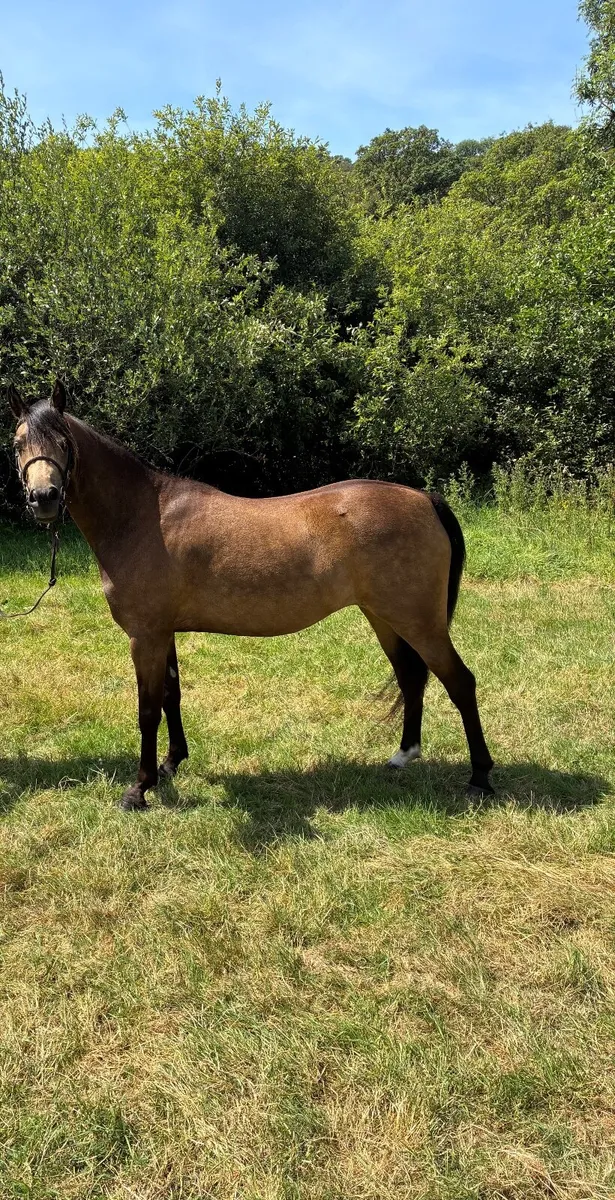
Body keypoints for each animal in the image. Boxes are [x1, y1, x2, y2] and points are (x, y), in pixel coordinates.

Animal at [8, 380, 494, 809]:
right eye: (16, 444)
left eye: (63, 441)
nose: (43, 497)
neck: (143, 516)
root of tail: (425, 499)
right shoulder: (163, 632)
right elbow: (171, 696)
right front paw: (171, 764)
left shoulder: (144, 636)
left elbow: (147, 710)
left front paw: (139, 789)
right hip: (386, 619)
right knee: (412, 677)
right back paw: (403, 756)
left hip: (419, 622)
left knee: (460, 683)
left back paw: (480, 780)